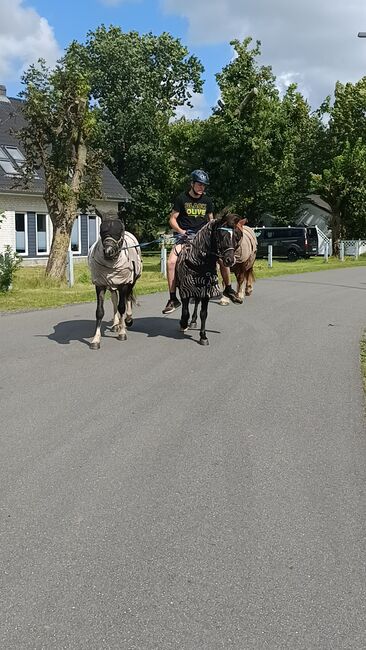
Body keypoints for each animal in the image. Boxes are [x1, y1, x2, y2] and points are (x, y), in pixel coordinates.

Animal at [87, 218, 142, 350]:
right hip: (112, 285)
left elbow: (122, 306)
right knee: (114, 300)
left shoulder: (123, 283)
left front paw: (122, 333)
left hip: (131, 282)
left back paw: (127, 321)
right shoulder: (100, 285)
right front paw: (96, 340)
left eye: (119, 232)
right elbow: (100, 311)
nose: (108, 251)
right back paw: (116, 324)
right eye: (102, 231)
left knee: (127, 298)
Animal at [175, 213, 243, 344]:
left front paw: (203, 336)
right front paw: (183, 323)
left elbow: (203, 313)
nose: (230, 260)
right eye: (220, 235)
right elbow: (185, 309)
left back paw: (193, 321)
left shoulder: (206, 291)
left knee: (196, 303)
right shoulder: (184, 289)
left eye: (235, 237)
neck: (199, 263)